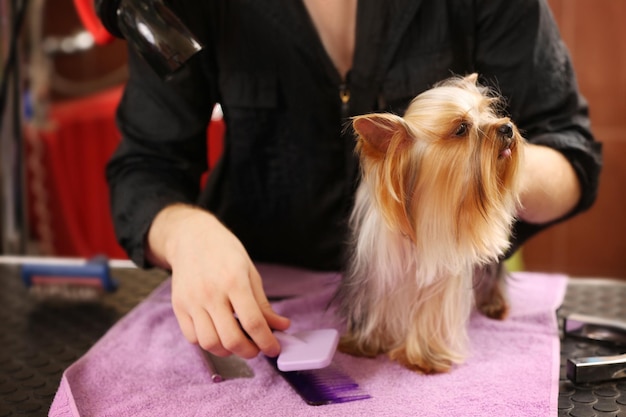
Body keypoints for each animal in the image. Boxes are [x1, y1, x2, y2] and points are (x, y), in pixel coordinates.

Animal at [336, 73, 520, 372]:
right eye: (461, 128)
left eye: (487, 112)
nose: (507, 127)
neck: (422, 215)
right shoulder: (377, 271)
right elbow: (378, 305)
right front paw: (367, 343)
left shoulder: (442, 278)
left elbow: (429, 313)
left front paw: (424, 357)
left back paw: (494, 305)